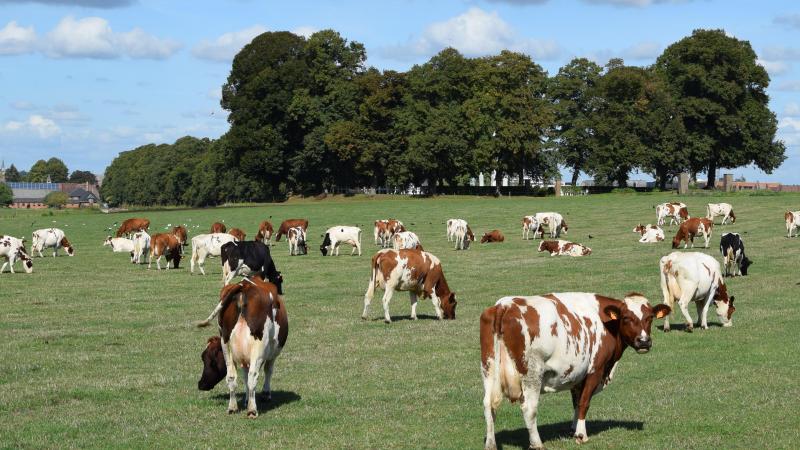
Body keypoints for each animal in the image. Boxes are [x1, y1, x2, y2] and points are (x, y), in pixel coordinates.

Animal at [196, 278, 290, 418]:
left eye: (211, 361)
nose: (201, 384)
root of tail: (243, 285)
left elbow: (244, 376)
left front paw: (246, 399)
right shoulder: (271, 353)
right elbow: (267, 370)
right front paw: (265, 394)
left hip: (226, 344)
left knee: (231, 377)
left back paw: (232, 407)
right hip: (258, 347)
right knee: (253, 376)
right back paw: (252, 410)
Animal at [478, 290, 672, 448]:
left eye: (650, 318)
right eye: (626, 318)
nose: (644, 341)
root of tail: (504, 305)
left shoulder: (577, 375)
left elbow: (576, 402)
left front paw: (573, 429)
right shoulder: (595, 370)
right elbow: (585, 402)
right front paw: (581, 434)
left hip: (488, 369)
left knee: (488, 405)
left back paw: (490, 444)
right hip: (532, 374)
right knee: (529, 408)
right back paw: (537, 443)